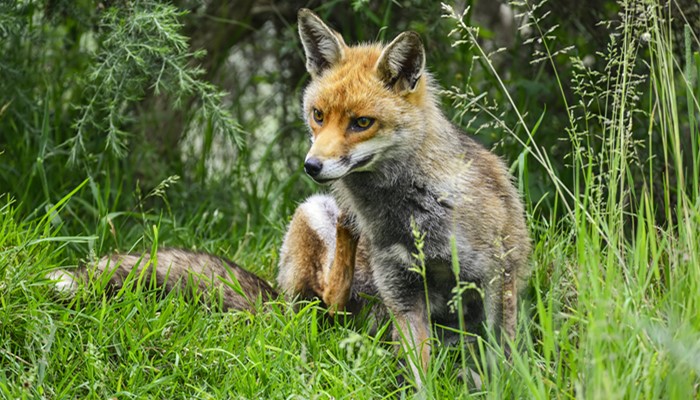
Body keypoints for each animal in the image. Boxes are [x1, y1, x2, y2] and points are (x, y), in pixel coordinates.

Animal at [278, 8, 532, 384]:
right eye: (318, 115)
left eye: (362, 122)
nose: (312, 166)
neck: (414, 215)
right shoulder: (402, 290)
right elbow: (418, 372)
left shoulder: (498, 275)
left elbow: (503, 358)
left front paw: (506, 385)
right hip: (312, 213)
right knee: (329, 296)